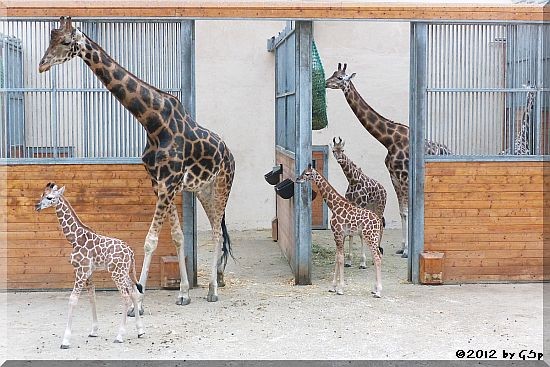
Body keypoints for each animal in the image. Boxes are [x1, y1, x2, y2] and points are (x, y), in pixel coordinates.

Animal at [34, 183, 146, 350]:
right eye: (41, 194)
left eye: (49, 197)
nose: (37, 206)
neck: (74, 239)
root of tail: (131, 252)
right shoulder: (89, 272)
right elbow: (92, 297)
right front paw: (94, 330)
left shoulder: (81, 270)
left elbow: (73, 299)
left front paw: (65, 340)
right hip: (124, 271)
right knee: (133, 291)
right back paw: (140, 331)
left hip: (116, 273)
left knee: (126, 296)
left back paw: (119, 336)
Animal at [38, 17, 237, 314]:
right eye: (50, 39)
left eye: (64, 41)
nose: (42, 65)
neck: (153, 123)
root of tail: (229, 154)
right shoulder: (160, 184)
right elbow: (177, 236)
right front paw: (183, 293)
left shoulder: (168, 183)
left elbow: (150, 241)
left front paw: (137, 303)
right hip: (202, 190)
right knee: (215, 230)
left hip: (222, 186)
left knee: (215, 233)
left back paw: (213, 289)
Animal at [298, 165, 384, 298]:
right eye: (302, 172)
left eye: (307, 174)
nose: (298, 179)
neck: (333, 206)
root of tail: (378, 221)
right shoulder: (340, 236)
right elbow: (337, 258)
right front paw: (333, 287)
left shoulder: (338, 233)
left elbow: (341, 259)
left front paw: (340, 288)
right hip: (372, 237)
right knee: (378, 256)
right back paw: (374, 289)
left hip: (370, 237)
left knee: (377, 258)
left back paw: (378, 291)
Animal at [332, 137, 388, 268]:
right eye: (333, 151)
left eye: (343, 150)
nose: (339, 159)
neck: (353, 180)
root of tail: (384, 190)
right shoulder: (352, 205)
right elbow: (351, 233)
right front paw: (349, 261)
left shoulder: (361, 205)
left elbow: (361, 234)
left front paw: (363, 262)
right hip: (371, 208)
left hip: (380, 206)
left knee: (380, 225)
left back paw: (376, 254)